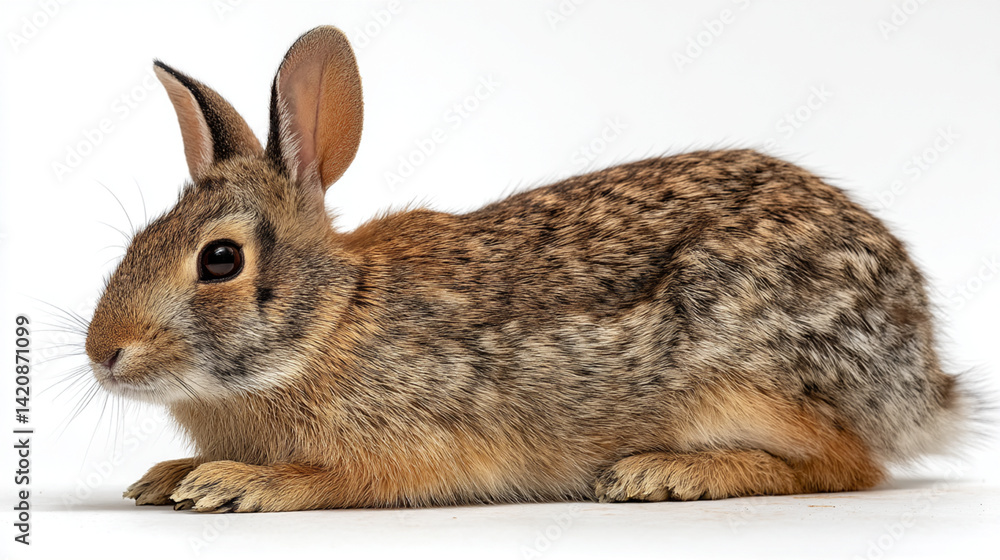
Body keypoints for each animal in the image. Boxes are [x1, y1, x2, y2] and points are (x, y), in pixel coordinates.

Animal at [83, 26, 971, 513]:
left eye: (220, 259)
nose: (103, 353)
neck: (329, 325)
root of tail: (919, 373)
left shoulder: (412, 443)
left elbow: (346, 477)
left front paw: (237, 484)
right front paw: (168, 477)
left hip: (742, 378)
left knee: (846, 465)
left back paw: (662, 474)